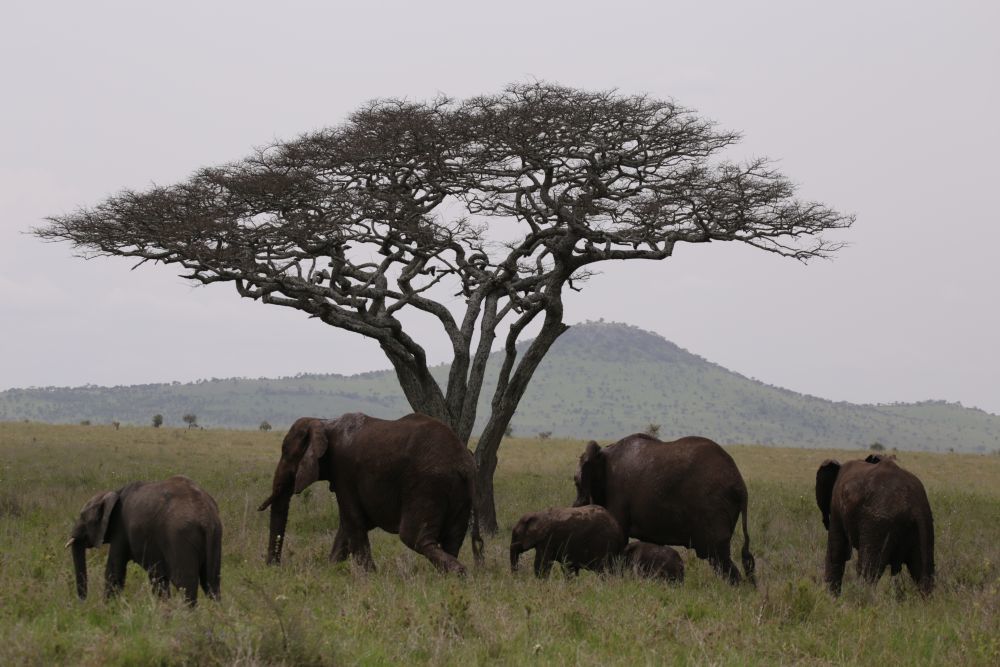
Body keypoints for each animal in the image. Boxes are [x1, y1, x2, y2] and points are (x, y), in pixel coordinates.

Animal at [67, 474, 223, 604]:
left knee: (185, 583)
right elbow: (158, 577)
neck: (113, 493)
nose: (83, 603)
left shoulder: (120, 529)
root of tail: (205, 517)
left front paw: (107, 609)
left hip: (181, 537)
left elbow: (114, 570)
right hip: (215, 535)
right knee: (211, 582)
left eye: (82, 516)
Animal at [258, 412, 484, 576]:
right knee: (452, 539)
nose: (274, 567)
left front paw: (370, 576)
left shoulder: (344, 471)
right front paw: (331, 571)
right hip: (459, 492)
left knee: (414, 537)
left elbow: (353, 521)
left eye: (287, 454)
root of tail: (465, 463)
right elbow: (347, 525)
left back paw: (459, 573)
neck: (324, 422)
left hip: (427, 485)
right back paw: (446, 578)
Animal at [576, 434, 752, 584]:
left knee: (718, 556)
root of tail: (741, 486)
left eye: (576, 482)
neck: (604, 452)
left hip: (713, 508)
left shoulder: (617, 494)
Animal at [816, 454, 932, 596]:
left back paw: (861, 597)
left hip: (877, 524)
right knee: (924, 574)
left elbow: (837, 552)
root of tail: (912, 505)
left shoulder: (836, 505)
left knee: (868, 572)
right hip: (924, 522)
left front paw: (832, 599)